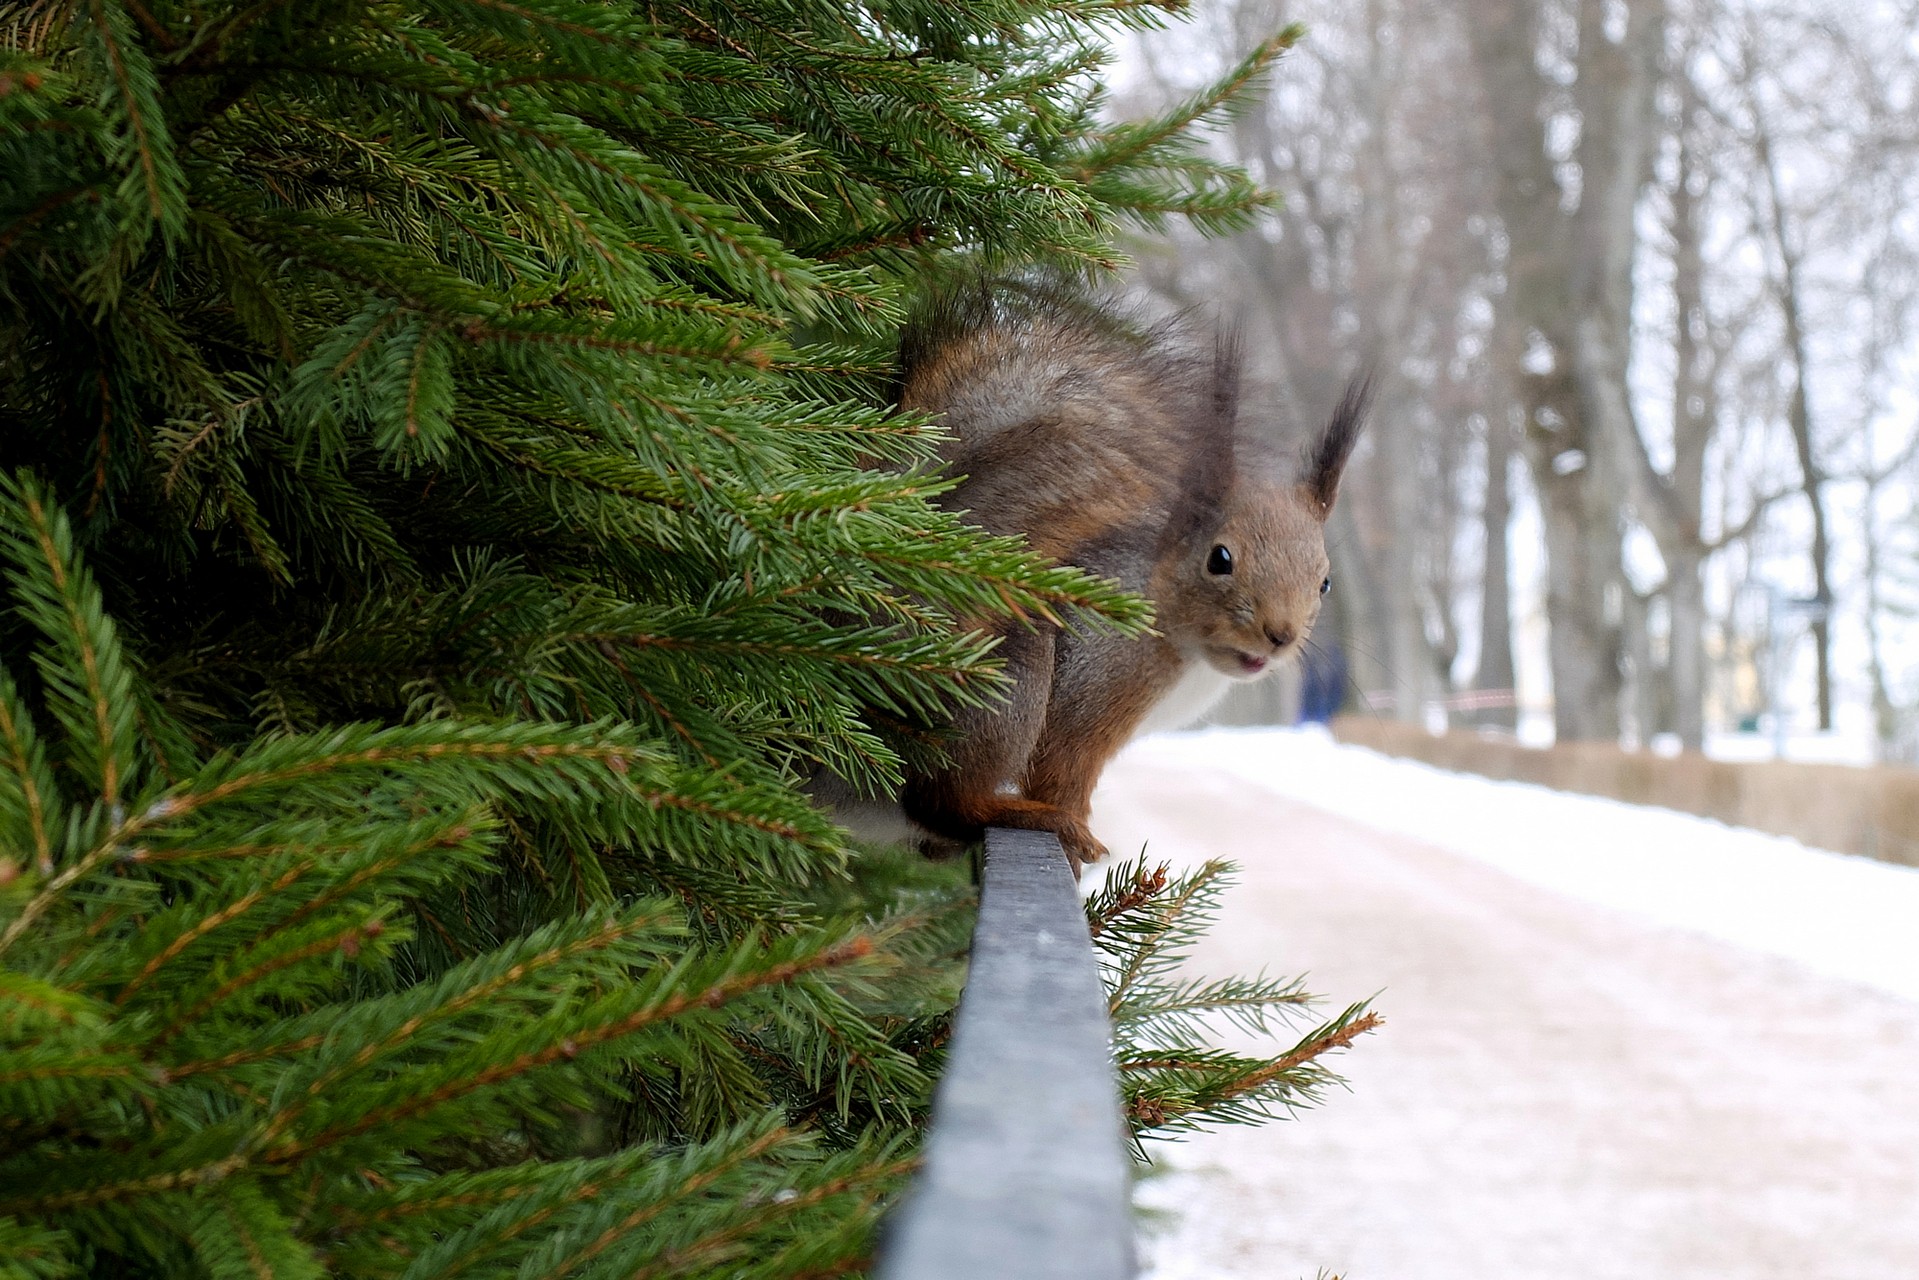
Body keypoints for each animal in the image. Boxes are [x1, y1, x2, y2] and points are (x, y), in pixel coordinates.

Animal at [894, 289, 1366, 871]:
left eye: (1324, 583)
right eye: (1220, 559)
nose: (1280, 635)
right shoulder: (1097, 675)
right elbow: (1064, 764)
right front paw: (1078, 832)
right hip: (999, 678)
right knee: (937, 799)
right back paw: (1021, 815)